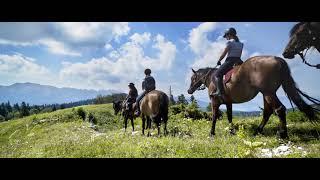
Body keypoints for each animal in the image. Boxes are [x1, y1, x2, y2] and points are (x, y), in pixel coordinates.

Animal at [189, 55, 318, 139]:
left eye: (193, 78)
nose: (189, 90)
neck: (212, 78)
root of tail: (278, 59)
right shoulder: (229, 102)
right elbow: (229, 117)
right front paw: (232, 131)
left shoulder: (214, 101)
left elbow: (214, 117)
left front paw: (211, 133)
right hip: (266, 94)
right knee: (268, 112)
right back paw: (258, 131)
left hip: (268, 93)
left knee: (279, 109)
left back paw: (282, 135)